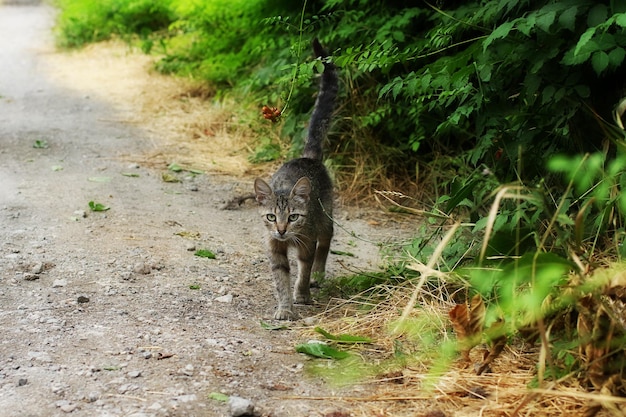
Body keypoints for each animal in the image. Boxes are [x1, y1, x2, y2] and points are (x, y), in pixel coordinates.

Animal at [252, 38, 336, 318]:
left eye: (293, 217)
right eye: (271, 217)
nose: (281, 230)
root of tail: (308, 158)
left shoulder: (306, 240)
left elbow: (304, 268)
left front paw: (302, 294)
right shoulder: (274, 247)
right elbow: (281, 279)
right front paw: (285, 308)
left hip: (325, 216)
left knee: (326, 241)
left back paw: (319, 275)